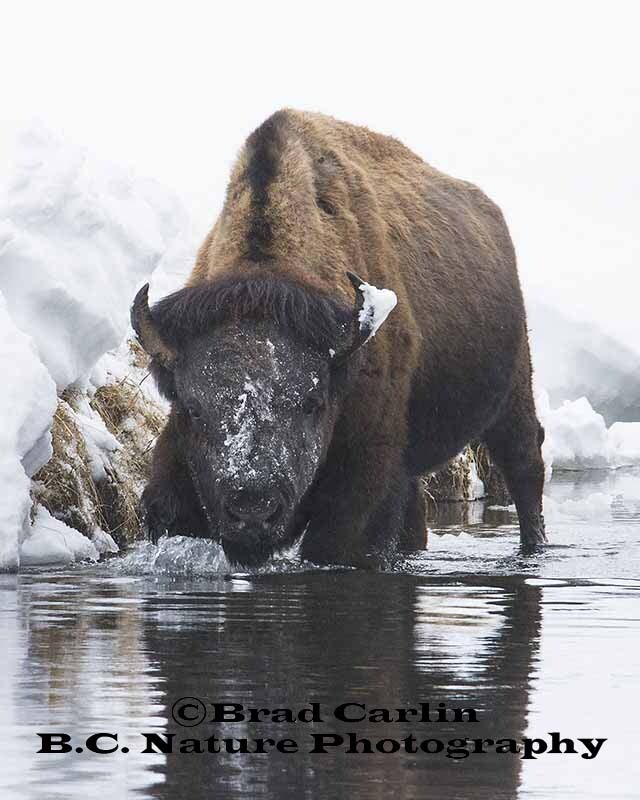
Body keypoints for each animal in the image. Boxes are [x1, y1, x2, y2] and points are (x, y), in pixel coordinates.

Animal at [131, 109, 546, 567]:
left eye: (312, 402)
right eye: (193, 407)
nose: (253, 509)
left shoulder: (361, 481)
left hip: (513, 395)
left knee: (526, 470)